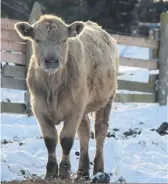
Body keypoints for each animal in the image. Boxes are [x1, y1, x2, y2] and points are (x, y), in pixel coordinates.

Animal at [14, 14, 119, 181]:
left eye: (64, 40)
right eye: (37, 40)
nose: (51, 61)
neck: (53, 89)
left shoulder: (74, 111)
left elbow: (66, 140)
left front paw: (64, 172)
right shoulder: (39, 109)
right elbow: (50, 140)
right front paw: (51, 172)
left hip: (107, 99)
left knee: (100, 131)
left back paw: (98, 170)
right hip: (83, 107)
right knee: (84, 131)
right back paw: (82, 172)